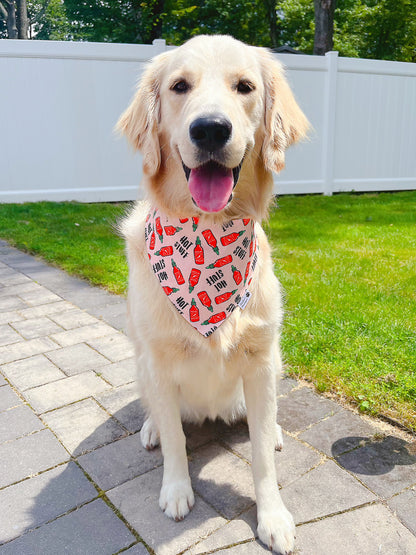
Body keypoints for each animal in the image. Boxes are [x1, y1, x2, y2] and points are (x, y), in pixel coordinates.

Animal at [117, 35, 308, 555]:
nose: (209, 130)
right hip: (141, 364)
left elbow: (262, 456)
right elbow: (175, 439)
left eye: (245, 87)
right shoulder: (159, 360)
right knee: (158, 412)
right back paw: (150, 429)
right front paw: (176, 490)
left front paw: (273, 516)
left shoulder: (260, 361)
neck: (206, 238)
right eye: (179, 86)